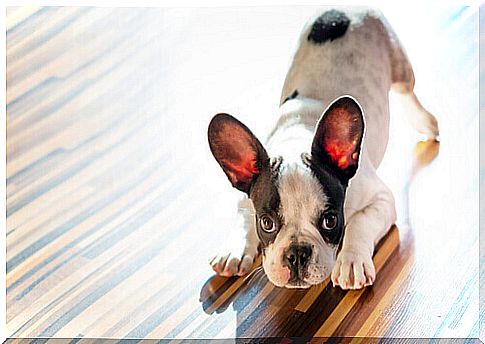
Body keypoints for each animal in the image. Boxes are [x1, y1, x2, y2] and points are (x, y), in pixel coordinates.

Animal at [206, 7, 436, 290]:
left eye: (330, 221)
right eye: (266, 223)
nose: (296, 253)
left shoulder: (381, 199)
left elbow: (359, 222)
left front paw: (351, 261)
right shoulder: (246, 190)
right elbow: (242, 213)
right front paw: (235, 249)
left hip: (399, 63)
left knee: (408, 92)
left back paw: (426, 122)